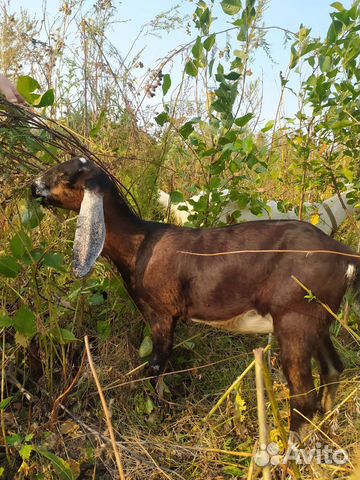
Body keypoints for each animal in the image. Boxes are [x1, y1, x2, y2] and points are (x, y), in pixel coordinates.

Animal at [32, 158, 358, 436]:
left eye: (66, 176)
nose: (34, 186)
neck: (141, 244)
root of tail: (344, 254)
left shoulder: (162, 313)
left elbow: (155, 367)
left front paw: (156, 415)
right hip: (319, 320)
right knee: (333, 370)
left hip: (295, 322)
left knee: (303, 400)